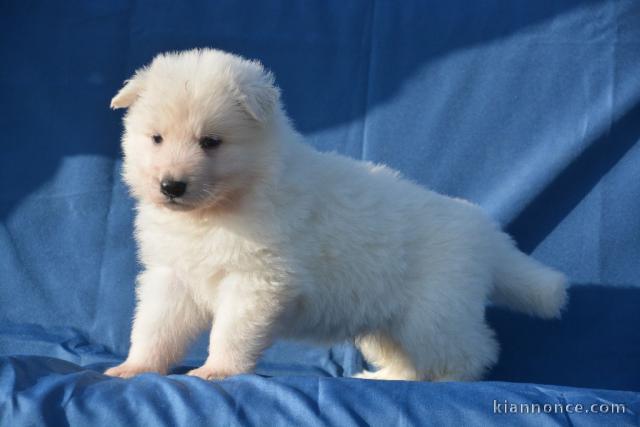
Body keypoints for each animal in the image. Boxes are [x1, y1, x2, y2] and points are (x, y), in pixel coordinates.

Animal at [105, 49, 568, 382]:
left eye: (210, 142)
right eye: (156, 138)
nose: (171, 186)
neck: (221, 207)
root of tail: (485, 231)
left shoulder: (255, 281)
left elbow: (231, 330)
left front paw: (216, 370)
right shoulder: (172, 276)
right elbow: (154, 326)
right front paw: (135, 367)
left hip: (434, 312)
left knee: (472, 350)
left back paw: (451, 379)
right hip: (387, 324)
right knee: (410, 359)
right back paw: (384, 379)